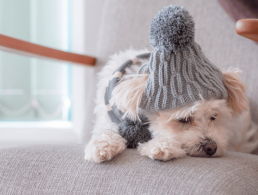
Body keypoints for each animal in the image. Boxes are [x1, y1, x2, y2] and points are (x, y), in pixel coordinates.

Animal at [84, 49, 258, 163]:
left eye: (214, 116)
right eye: (184, 119)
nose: (211, 147)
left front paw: (163, 146)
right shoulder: (108, 117)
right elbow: (106, 129)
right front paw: (102, 145)